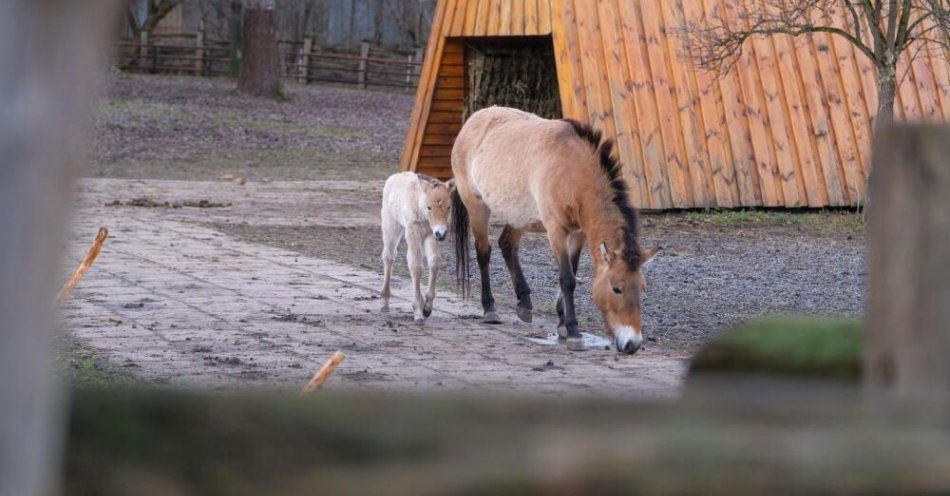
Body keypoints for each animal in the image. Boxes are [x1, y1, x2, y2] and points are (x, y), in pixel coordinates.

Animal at [450, 105, 660, 352]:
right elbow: (567, 278)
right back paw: (489, 308)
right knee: (484, 252)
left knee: (507, 244)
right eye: (616, 288)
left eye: (643, 288)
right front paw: (573, 332)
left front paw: (561, 323)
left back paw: (524, 302)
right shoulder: (556, 231)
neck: (572, 170)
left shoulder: (578, 234)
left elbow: (573, 272)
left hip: (520, 216)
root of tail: (472, 120)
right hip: (477, 207)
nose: (632, 344)